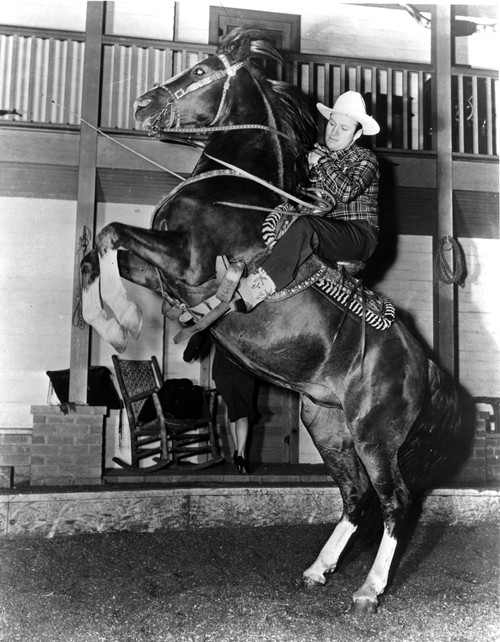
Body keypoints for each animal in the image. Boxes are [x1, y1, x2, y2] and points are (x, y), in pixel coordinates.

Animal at [81, 28, 461, 615]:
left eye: (201, 71)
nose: (144, 104)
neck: (232, 191)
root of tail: (423, 363)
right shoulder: (160, 267)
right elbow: (102, 252)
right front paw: (115, 318)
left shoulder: (188, 262)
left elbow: (111, 233)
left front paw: (118, 321)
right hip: (326, 425)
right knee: (355, 497)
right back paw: (318, 570)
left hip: (374, 434)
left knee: (395, 500)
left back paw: (369, 589)